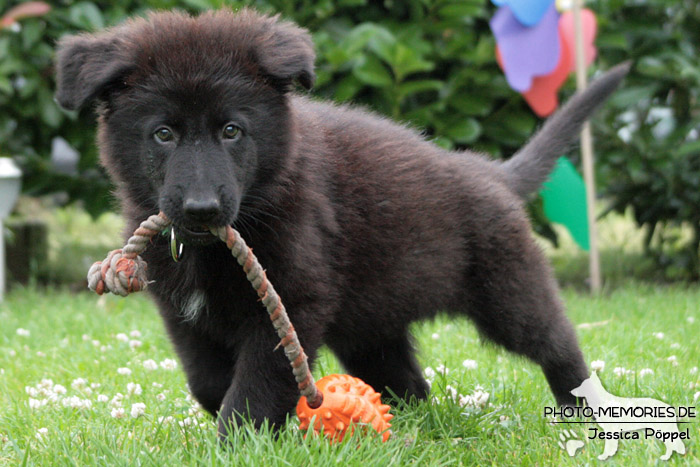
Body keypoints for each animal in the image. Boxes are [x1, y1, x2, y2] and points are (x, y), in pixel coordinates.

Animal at [56, 8, 628, 438]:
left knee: (557, 343)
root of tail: (490, 171)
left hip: (507, 289)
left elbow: (256, 384)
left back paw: (581, 410)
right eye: (164, 134)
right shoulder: (184, 313)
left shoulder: (291, 301)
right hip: (372, 324)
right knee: (408, 383)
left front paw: (242, 439)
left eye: (231, 130)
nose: (201, 210)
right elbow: (208, 381)